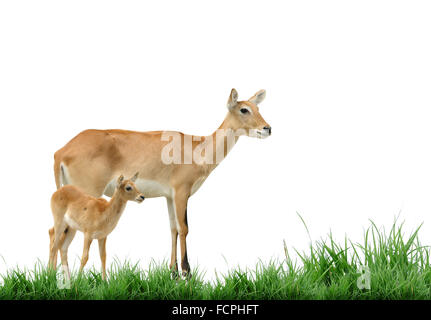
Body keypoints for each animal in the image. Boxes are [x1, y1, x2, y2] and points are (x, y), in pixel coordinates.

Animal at [53, 88, 270, 278]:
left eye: (258, 107)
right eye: (244, 109)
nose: (267, 128)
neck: (198, 149)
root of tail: (61, 151)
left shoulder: (169, 196)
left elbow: (173, 228)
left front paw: (173, 273)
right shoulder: (181, 192)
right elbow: (184, 228)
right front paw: (187, 273)